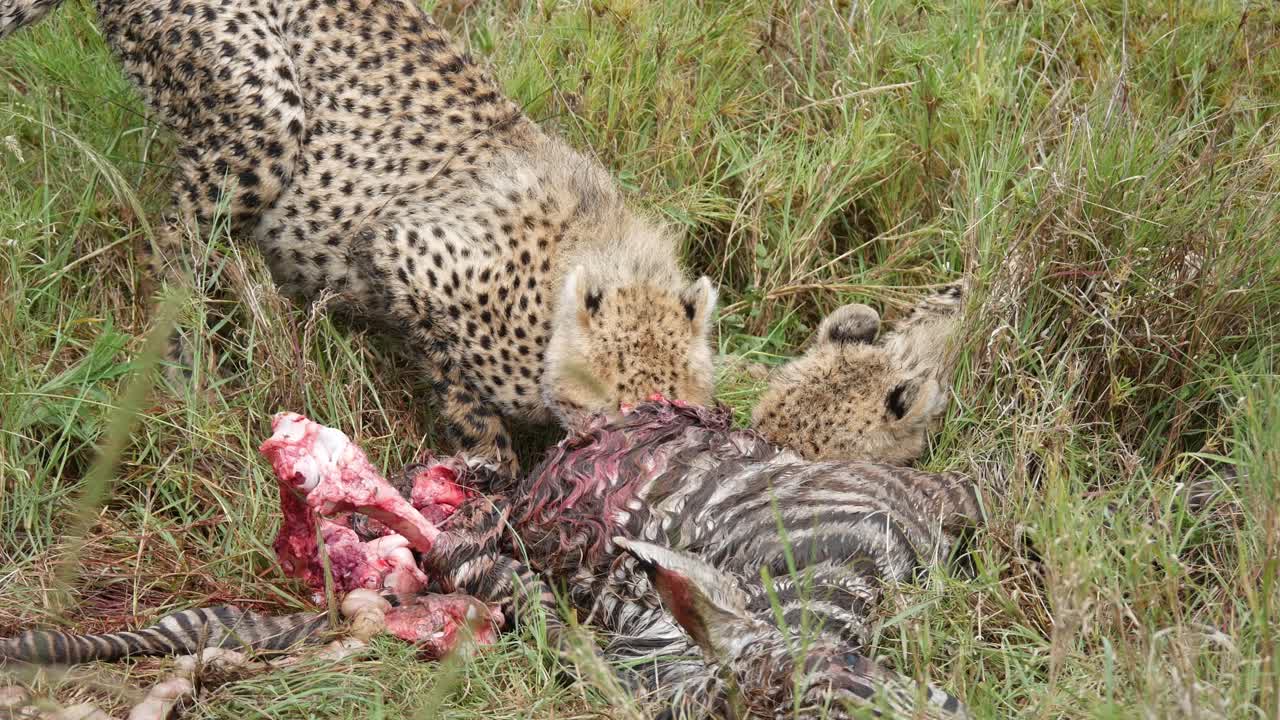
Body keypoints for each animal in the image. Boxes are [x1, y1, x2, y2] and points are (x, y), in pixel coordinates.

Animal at [0, 0, 719, 475]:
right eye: (625, 396)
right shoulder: (406, 255)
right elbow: (468, 401)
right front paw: (490, 476)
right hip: (265, 112)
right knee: (174, 242)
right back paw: (189, 372)